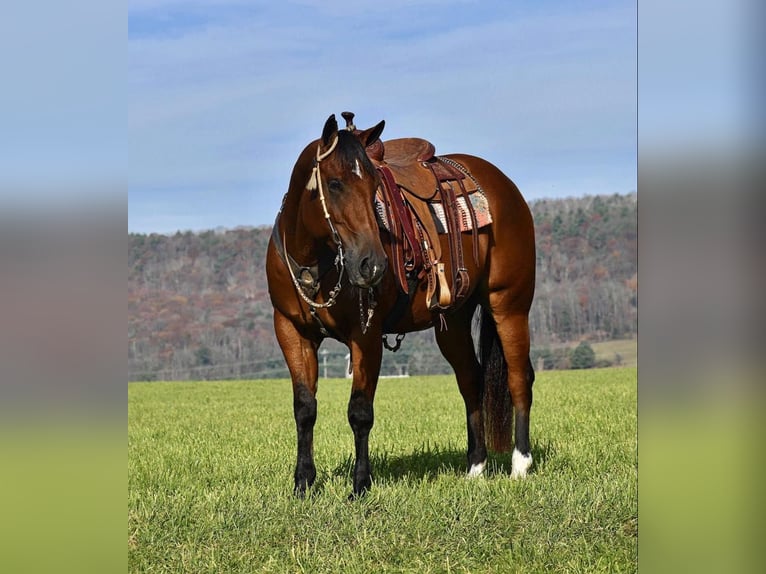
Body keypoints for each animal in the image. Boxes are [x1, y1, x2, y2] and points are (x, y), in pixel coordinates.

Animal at [268, 113, 536, 500]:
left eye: (374, 187)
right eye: (334, 184)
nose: (373, 264)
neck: (313, 264)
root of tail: (503, 186)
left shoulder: (365, 336)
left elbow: (360, 411)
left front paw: (360, 486)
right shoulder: (291, 332)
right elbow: (304, 408)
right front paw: (302, 484)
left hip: (509, 305)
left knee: (518, 378)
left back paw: (520, 465)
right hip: (453, 322)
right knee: (471, 382)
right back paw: (475, 468)